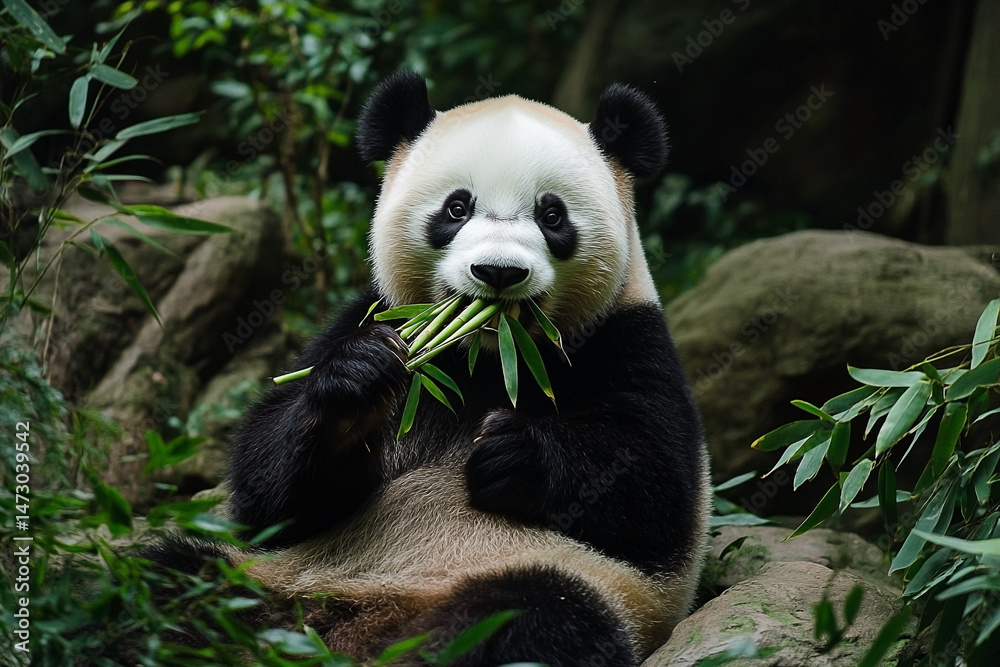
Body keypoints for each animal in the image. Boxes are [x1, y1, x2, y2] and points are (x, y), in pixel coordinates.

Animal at [218, 72, 710, 666]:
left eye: (552, 216)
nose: (497, 271)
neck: (489, 358)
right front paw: (358, 382)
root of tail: (342, 627)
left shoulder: (629, 335)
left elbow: (657, 491)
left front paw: (513, 452)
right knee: (177, 575)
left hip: (555, 580)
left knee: (526, 620)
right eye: (457, 209)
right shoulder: (370, 313)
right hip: (273, 578)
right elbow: (270, 499)